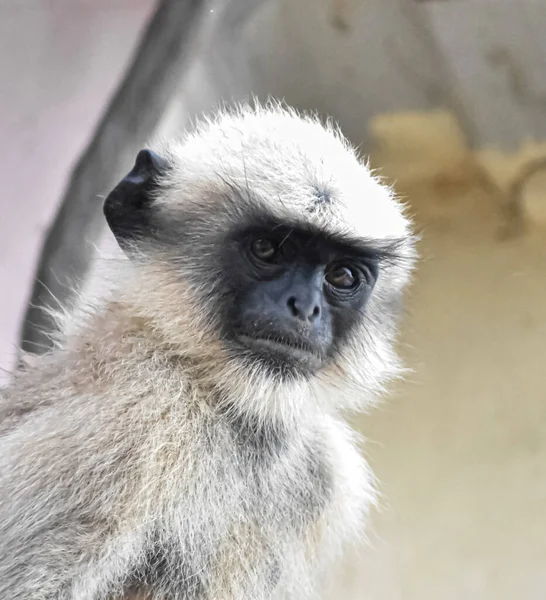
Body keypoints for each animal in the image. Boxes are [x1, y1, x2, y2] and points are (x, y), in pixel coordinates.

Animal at [0, 103, 412, 600]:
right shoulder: (138, 410)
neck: (223, 405)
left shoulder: (325, 467)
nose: (304, 307)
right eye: (266, 249)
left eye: (343, 276)